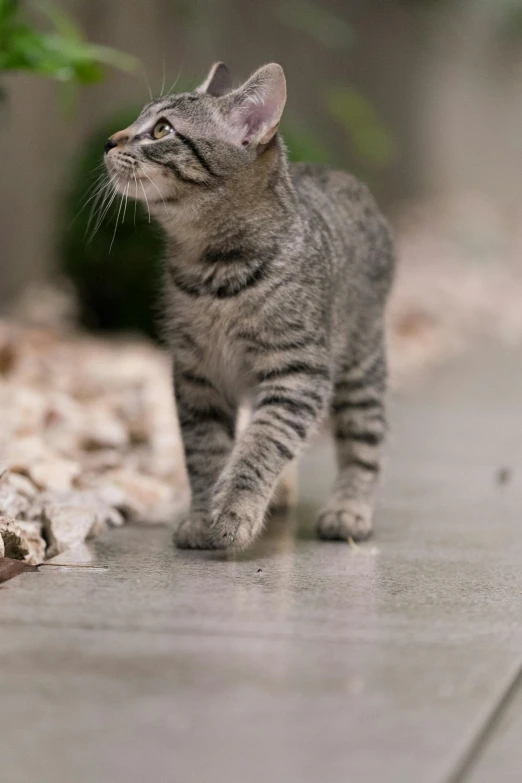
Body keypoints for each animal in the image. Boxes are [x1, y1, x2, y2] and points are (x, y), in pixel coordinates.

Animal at [102, 61, 394, 552]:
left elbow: (263, 442)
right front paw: (203, 515)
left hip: (360, 365)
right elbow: (206, 451)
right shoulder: (196, 375)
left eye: (161, 130)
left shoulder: (298, 371)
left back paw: (348, 510)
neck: (213, 272)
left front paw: (236, 511)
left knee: (364, 443)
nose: (109, 140)